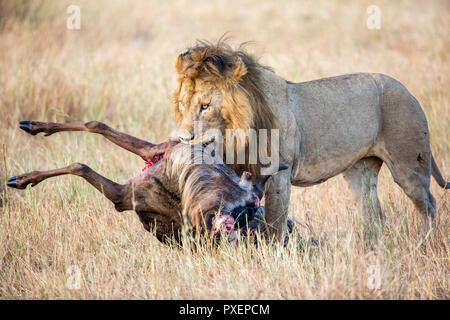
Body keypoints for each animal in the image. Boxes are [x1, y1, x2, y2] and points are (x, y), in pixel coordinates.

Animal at [171, 39, 446, 242]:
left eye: (205, 106)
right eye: (183, 104)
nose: (182, 138)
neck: (235, 136)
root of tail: (408, 91)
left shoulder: (279, 175)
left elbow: (274, 224)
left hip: (409, 163)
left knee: (428, 205)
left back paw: (427, 243)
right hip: (360, 171)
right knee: (374, 213)